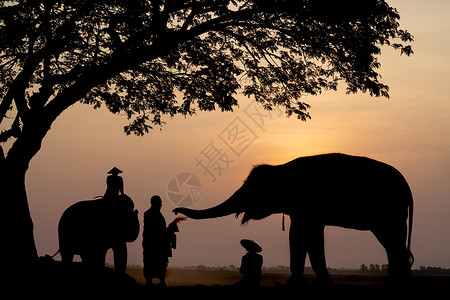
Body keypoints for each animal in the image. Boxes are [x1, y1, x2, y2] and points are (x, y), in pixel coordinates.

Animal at [174, 154, 414, 284]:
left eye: (251, 189)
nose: (176, 212)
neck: (282, 168)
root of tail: (407, 187)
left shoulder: (307, 205)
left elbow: (303, 236)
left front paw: (301, 284)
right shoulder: (303, 211)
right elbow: (304, 236)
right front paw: (311, 283)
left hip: (389, 212)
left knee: (393, 242)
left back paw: (396, 284)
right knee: (393, 245)